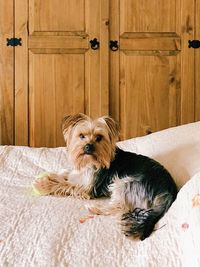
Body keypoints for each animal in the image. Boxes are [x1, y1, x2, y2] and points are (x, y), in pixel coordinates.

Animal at [32, 114, 178, 242]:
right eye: (81, 136)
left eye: (99, 137)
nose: (88, 146)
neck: (90, 162)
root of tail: (168, 192)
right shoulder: (80, 174)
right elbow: (66, 174)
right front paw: (51, 175)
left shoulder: (86, 188)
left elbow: (65, 185)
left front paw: (43, 185)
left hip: (125, 183)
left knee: (120, 206)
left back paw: (95, 209)